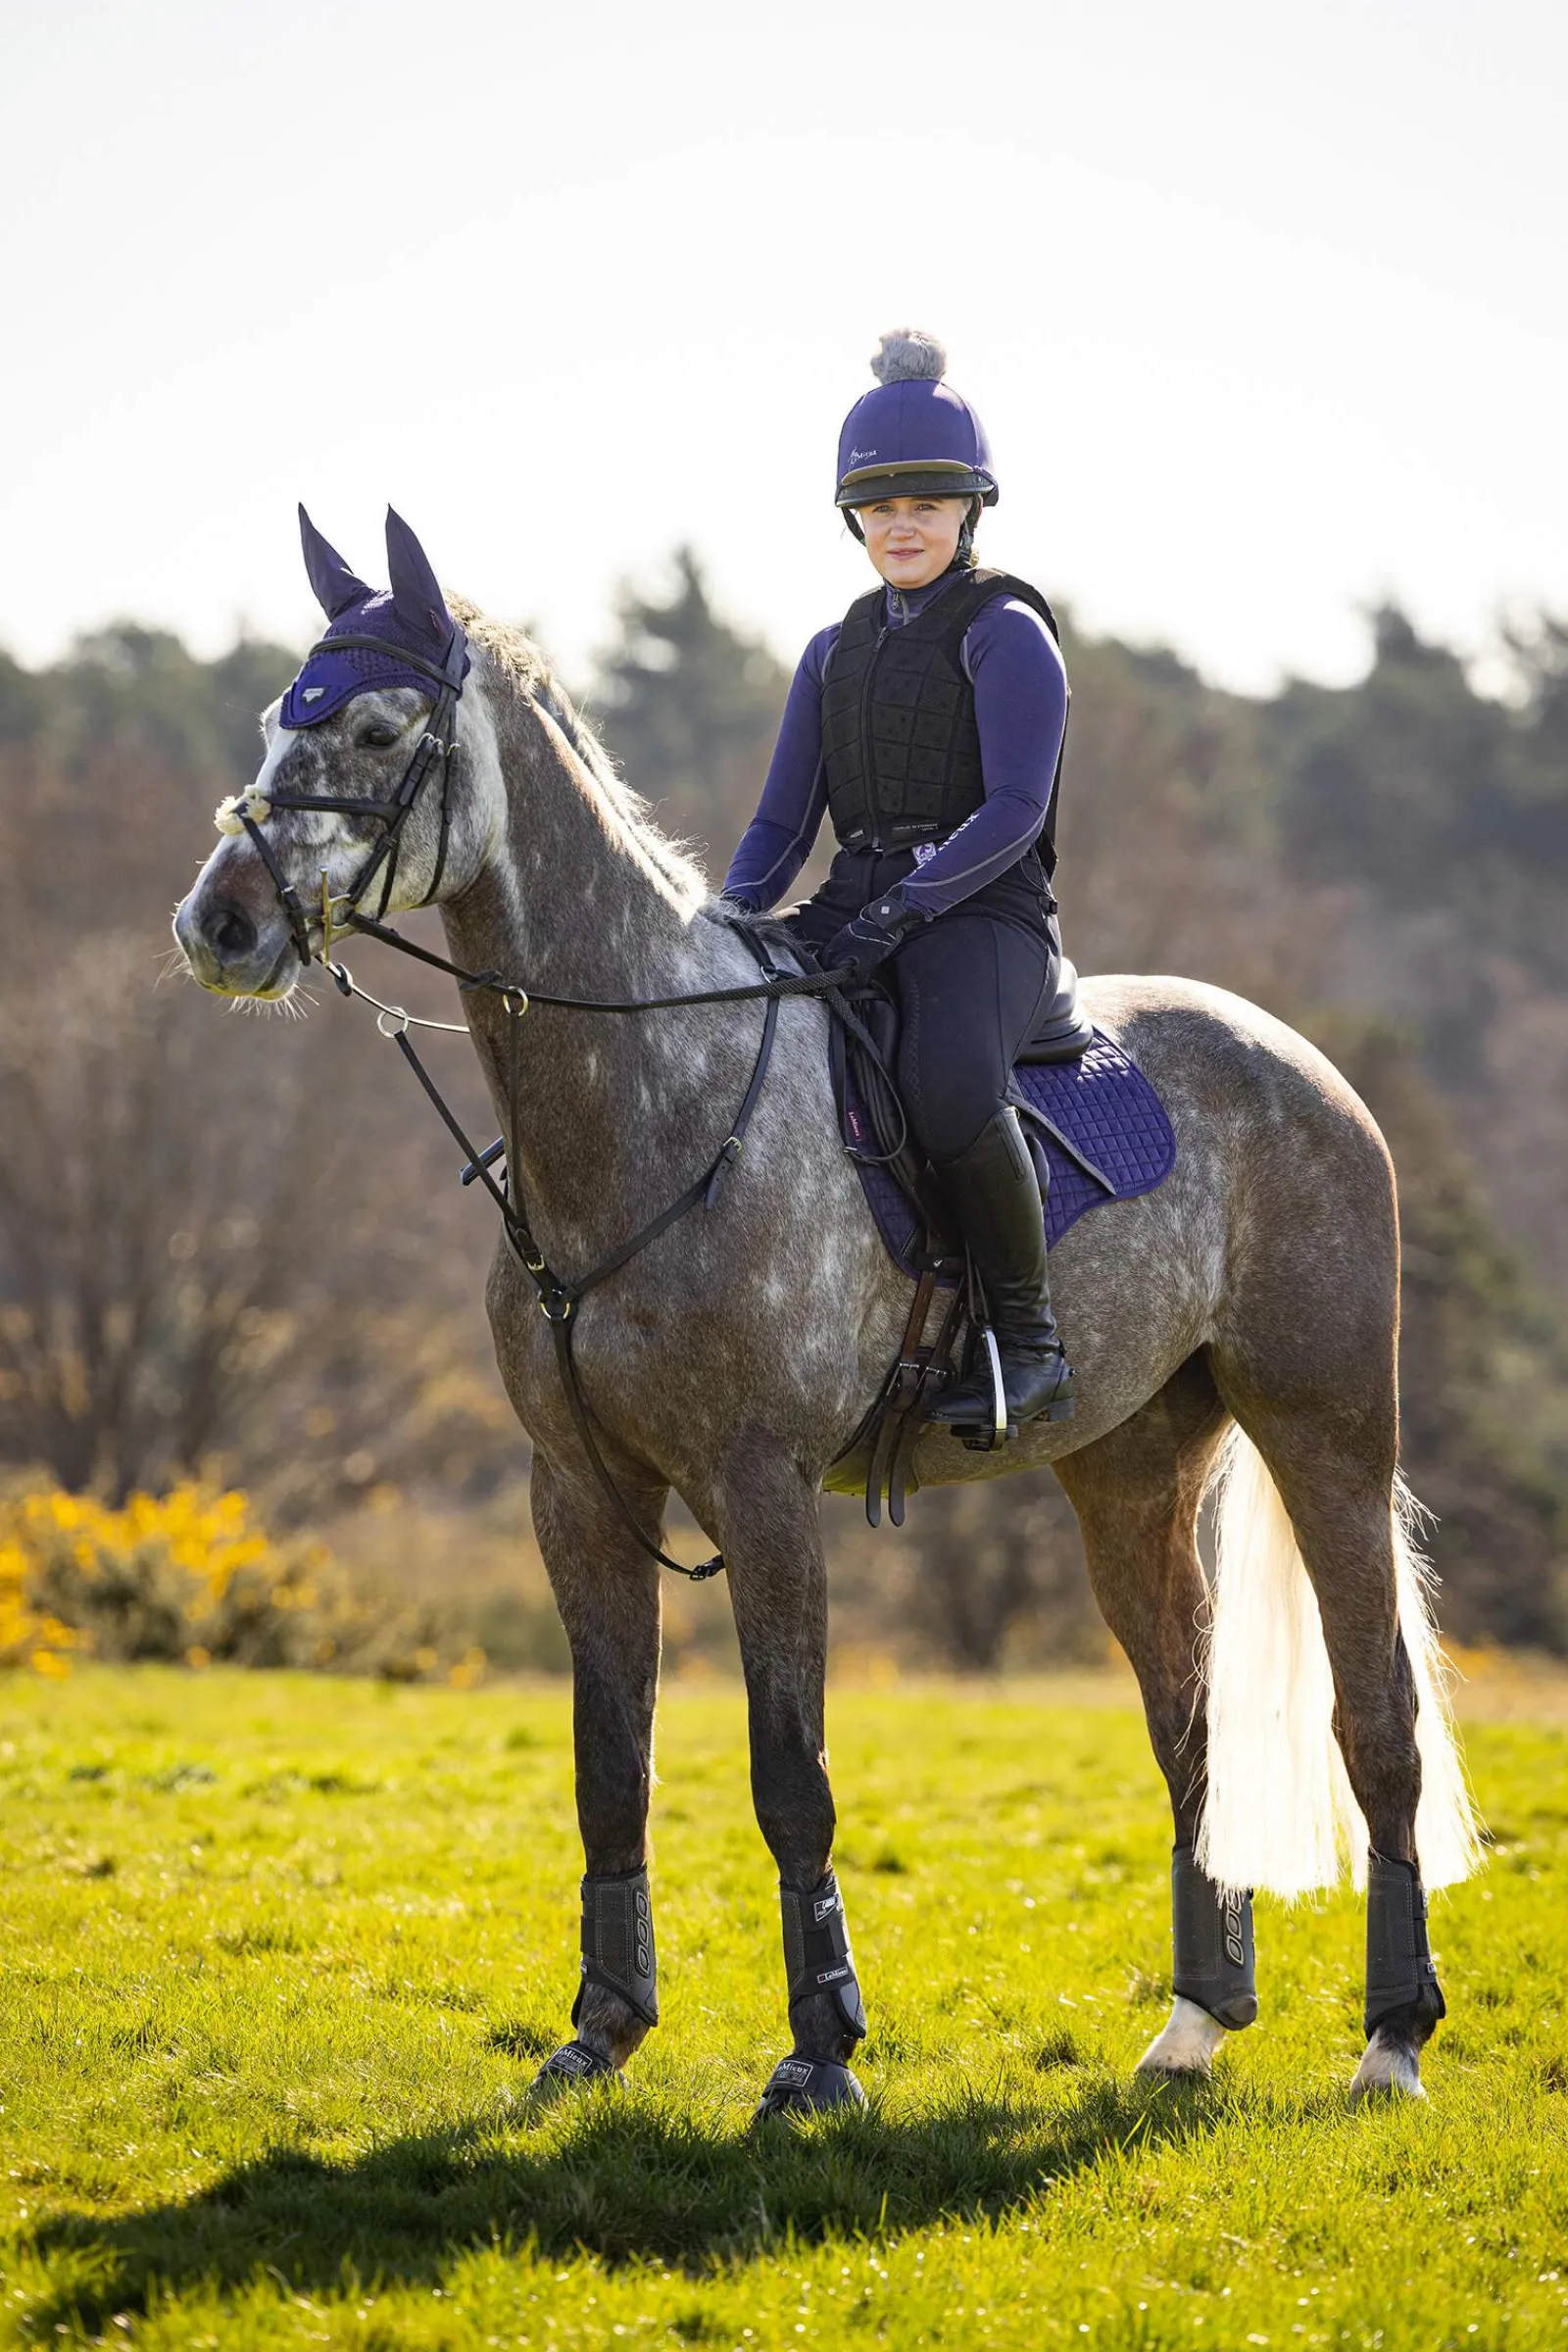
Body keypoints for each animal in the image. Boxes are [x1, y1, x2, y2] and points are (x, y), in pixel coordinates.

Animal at [173, 511, 1481, 2117]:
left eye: (371, 728)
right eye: (273, 720)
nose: (219, 926)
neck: (641, 1112)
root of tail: (1302, 1060)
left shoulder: (763, 1488)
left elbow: (788, 1776)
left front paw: (820, 2054)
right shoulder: (579, 1496)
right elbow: (609, 1771)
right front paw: (599, 2033)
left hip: (1328, 1434)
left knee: (1379, 1723)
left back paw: (1391, 2042)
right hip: (1126, 1476)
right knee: (1187, 1726)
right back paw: (1193, 2027)